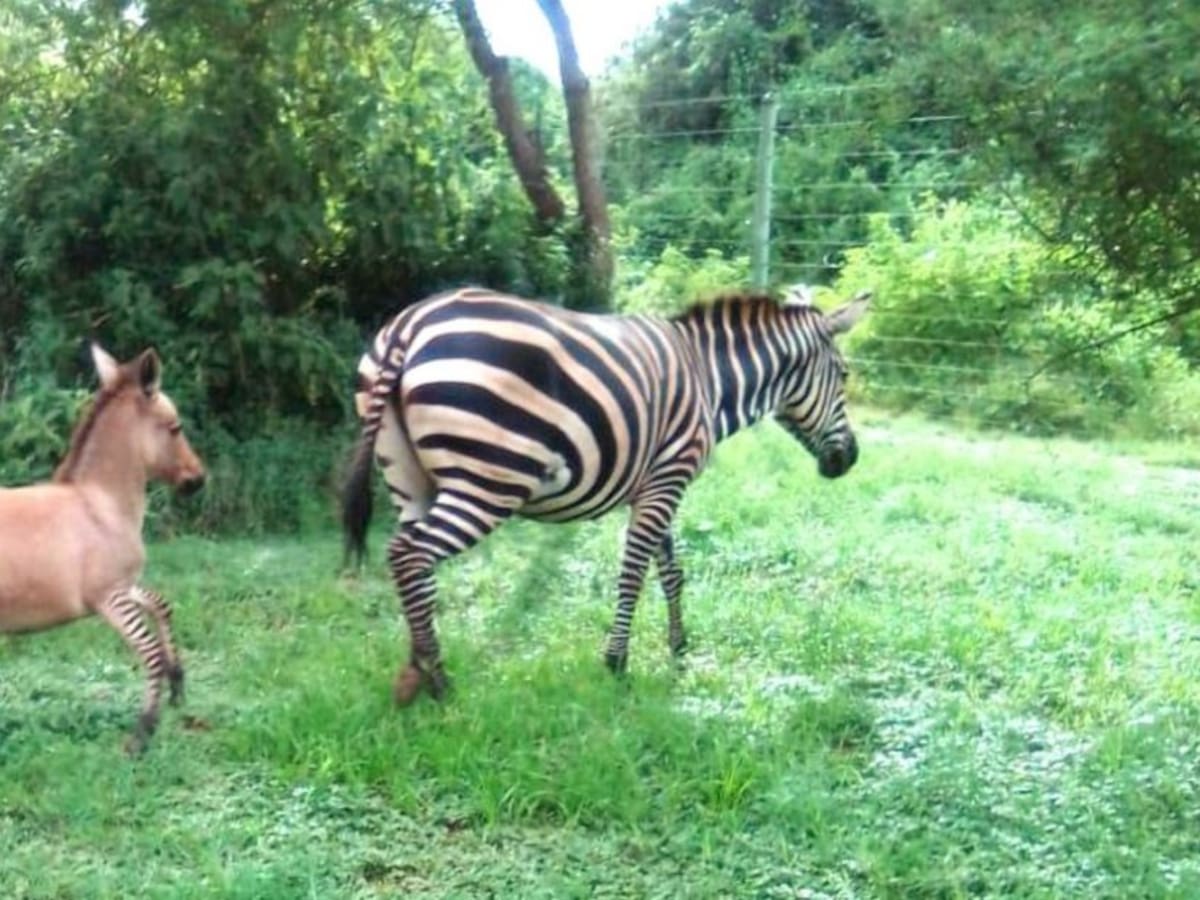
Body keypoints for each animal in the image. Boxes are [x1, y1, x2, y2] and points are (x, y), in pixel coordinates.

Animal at [342, 285, 869, 704]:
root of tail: (410, 324)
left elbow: (671, 571)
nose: (850, 460)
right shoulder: (668, 478)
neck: (710, 379)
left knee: (412, 566)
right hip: (488, 480)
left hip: (409, 480)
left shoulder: (656, 483)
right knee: (410, 555)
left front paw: (679, 649)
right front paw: (617, 663)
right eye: (844, 376)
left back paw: (416, 669)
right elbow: (634, 572)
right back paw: (438, 680)